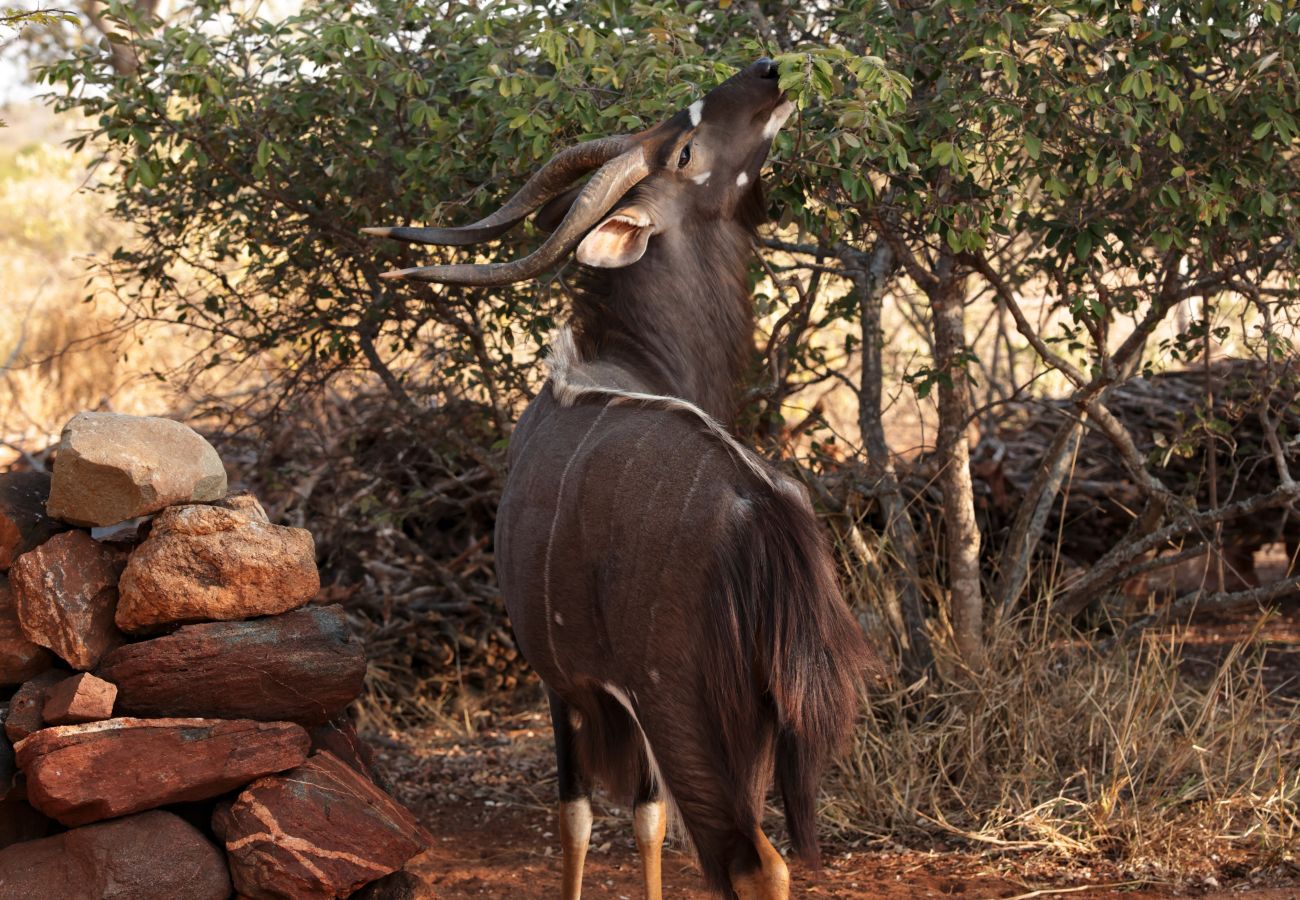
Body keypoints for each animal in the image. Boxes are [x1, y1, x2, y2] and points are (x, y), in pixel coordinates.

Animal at [366, 57, 873, 900]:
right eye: (686, 151)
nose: (769, 71)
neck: (621, 359)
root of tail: (758, 510)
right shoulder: (573, 685)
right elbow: (616, 820)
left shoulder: (577, 688)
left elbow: (599, 819)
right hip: (720, 720)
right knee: (749, 856)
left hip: (694, 716)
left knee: (747, 859)